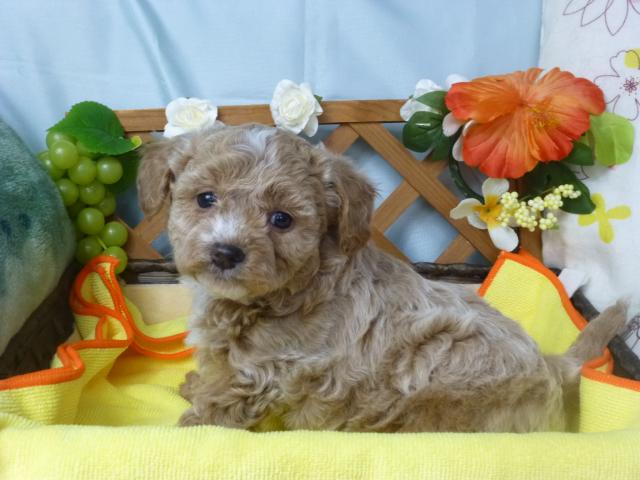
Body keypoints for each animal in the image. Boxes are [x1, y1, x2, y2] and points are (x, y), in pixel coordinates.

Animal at [137, 124, 625, 433]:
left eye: (281, 220)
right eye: (205, 199)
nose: (225, 252)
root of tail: (552, 365)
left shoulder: (265, 371)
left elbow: (223, 406)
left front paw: (192, 426)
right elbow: (215, 375)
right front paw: (195, 385)